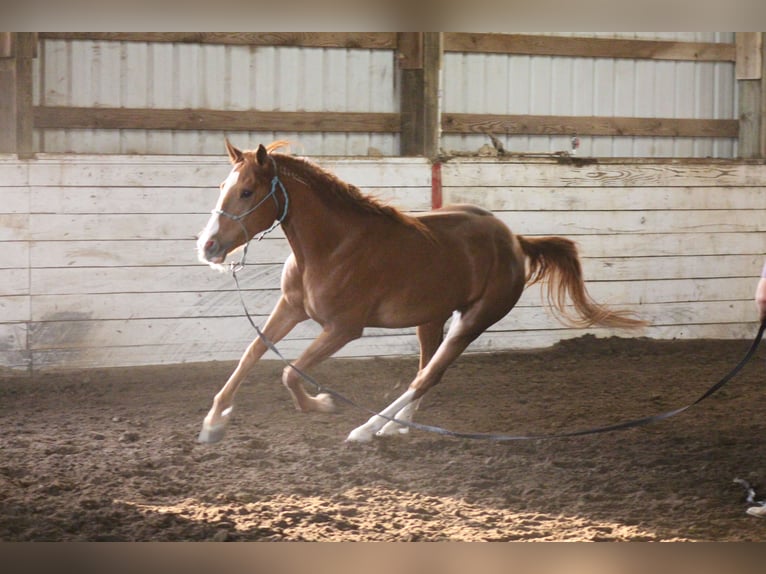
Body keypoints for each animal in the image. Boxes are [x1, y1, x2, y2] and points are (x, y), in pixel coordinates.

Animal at [195, 141, 644, 446]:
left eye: (248, 191)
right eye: (221, 186)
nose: (208, 246)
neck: (332, 247)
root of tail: (514, 241)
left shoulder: (343, 329)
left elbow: (290, 372)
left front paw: (322, 404)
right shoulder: (290, 307)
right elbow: (251, 353)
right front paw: (214, 421)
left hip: (474, 319)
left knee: (431, 374)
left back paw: (368, 428)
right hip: (432, 319)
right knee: (425, 370)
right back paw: (395, 425)